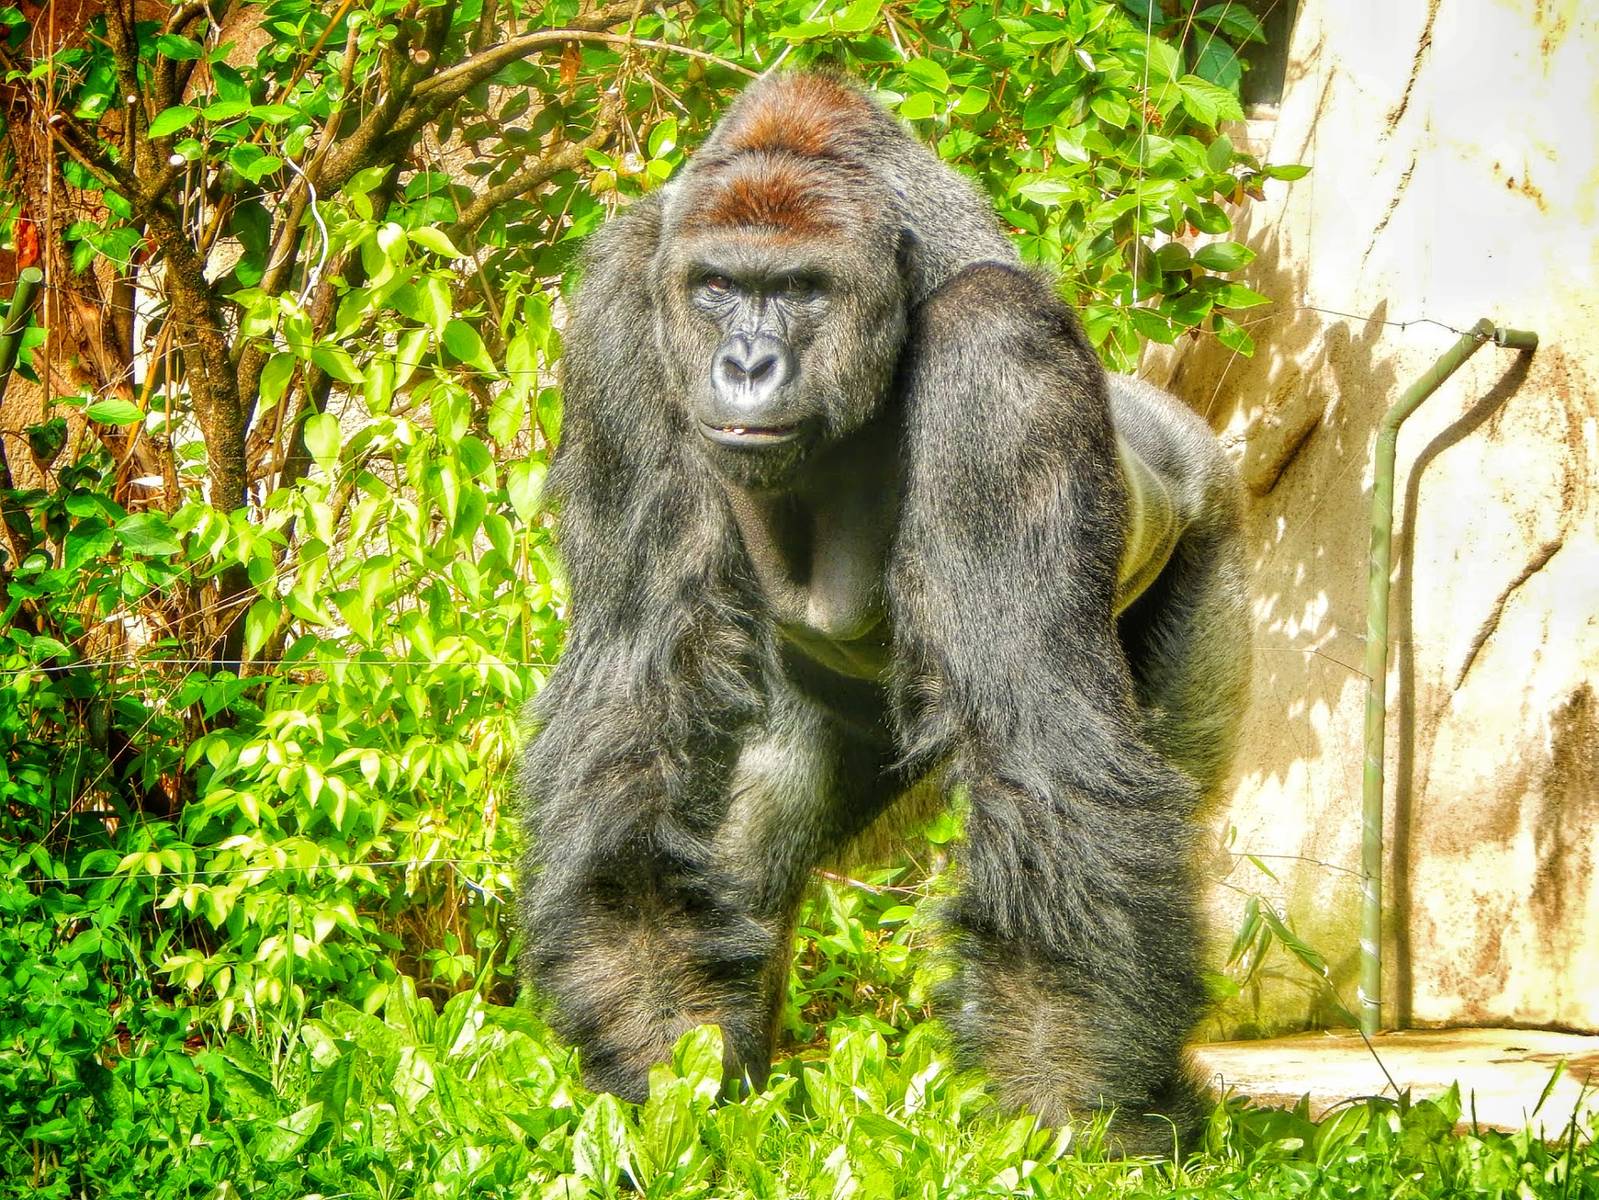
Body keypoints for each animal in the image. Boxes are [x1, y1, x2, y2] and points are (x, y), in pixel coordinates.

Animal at [519, 72, 1248, 1156]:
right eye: (715, 287)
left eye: (802, 291)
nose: (745, 365)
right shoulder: (620, 301)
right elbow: (638, 685)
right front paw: (664, 1060)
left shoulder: (996, 343)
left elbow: (1040, 738)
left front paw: (1077, 1118)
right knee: (748, 832)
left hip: (1213, 533)